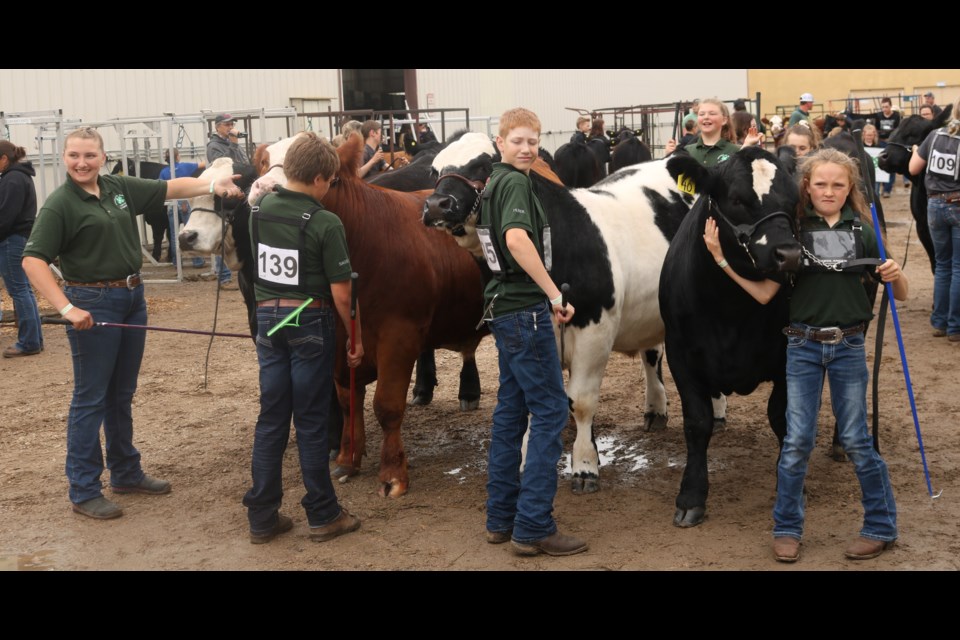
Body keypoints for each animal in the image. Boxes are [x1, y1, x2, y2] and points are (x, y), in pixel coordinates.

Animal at [420, 132, 736, 492]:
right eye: (434, 170)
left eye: (484, 164)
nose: (436, 204)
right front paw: (527, 461)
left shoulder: (594, 329)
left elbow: (581, 401)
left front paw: (585, 465)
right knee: (652, 354)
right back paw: (655, 409)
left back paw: (717, 409)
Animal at [660, 148, 804, 528]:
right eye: (738, 199)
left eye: (794, 199)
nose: (789, 255)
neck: (731, 309)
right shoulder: (679, 353)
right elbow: (697, 423)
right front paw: (691, 496)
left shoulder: (789, 351)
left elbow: (782, 416)